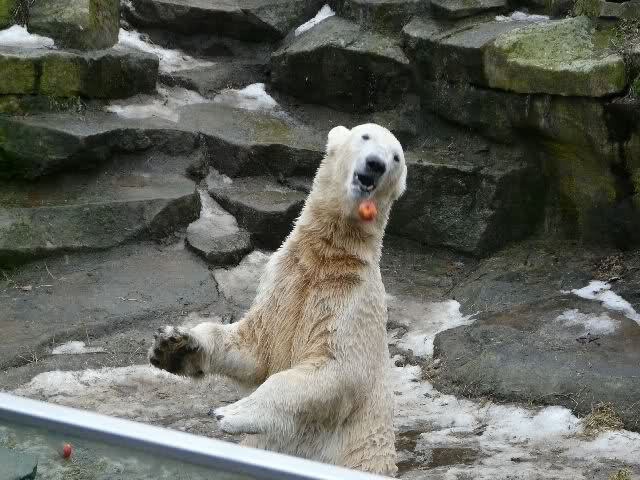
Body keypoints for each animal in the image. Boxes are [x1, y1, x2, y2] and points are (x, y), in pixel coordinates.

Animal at [148, 123, 407, 476]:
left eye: (396, 157)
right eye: (365, 136)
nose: (375, 165)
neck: (325, 259)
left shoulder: (350, 301)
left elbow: (335, 367)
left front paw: (231, 412)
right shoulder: (284, 282)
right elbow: (254, 345)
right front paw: (172, 346)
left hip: (360, 458)